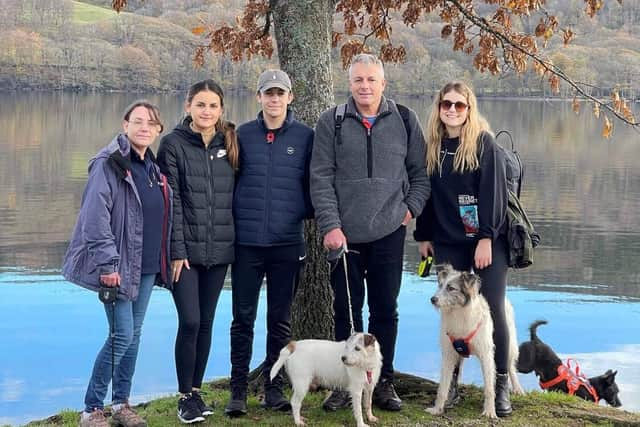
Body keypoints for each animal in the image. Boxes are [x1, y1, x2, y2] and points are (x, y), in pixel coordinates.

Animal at [428, 266, 524, 420]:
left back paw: (517, 388)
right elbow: (443, 386)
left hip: (511, 346)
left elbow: (489, 388)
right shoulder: (449, 354)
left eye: (451, 288)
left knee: (510, 367)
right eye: (440, 286)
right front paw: (437, 409)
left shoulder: (486, 354)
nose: (433, 299)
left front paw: (490, 411)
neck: (459, 313)